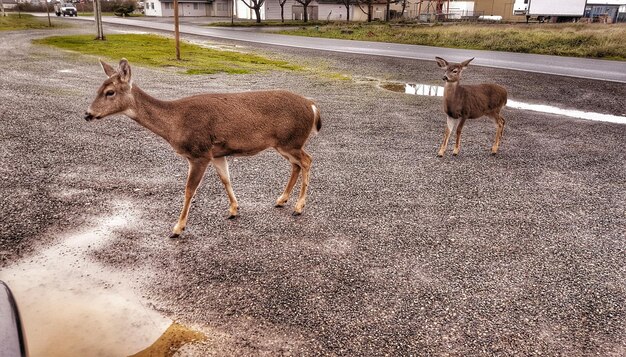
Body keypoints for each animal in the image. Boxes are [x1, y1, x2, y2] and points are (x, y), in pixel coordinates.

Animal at [85, 58, 320, 238]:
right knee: (297, 165)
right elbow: (226, 179)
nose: (87, 114)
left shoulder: (198, 153)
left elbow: (189, 190)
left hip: (291, 141)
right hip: (285, 143)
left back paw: (298, 207)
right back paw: (282, 200)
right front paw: (233, 209)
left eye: (110, 92)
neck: (175, 123)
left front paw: (177, 228)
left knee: (307, 160)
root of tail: (312, 106)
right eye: (98, 89)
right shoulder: (216, 153)